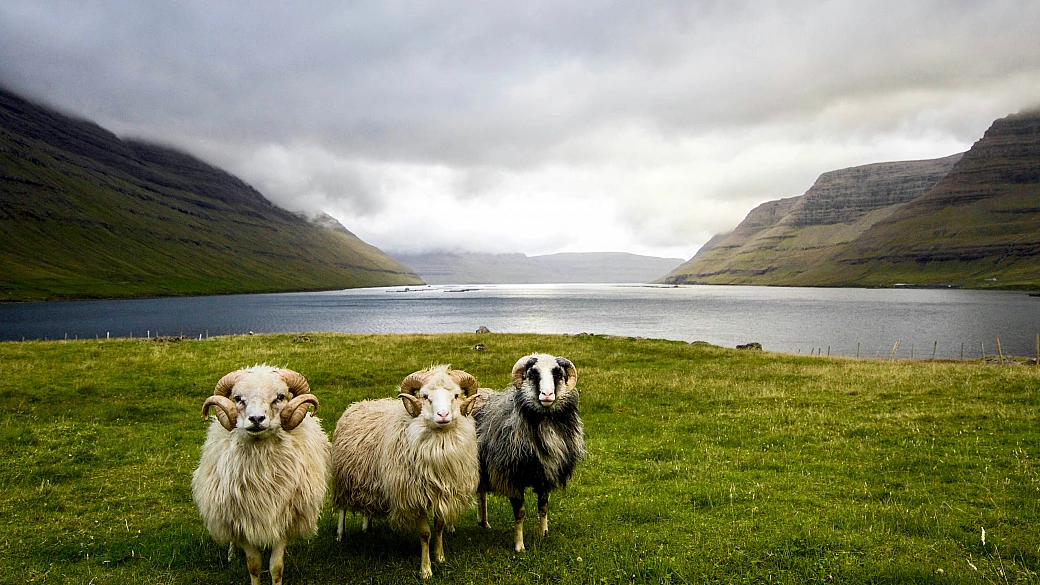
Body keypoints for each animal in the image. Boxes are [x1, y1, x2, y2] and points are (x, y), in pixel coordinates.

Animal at [191, 365, 329, 585]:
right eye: (238, 398)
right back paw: (231, 553)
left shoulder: (284, 519)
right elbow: (254, 565)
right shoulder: (241, 522)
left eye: (279, 397)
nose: (256, 419)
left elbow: (276, 567)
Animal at [331, 365, 480, 579]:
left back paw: (367, 527)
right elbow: (425, 533)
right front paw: (425, 570)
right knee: (342, 508)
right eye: (425, 396)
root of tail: (359, 404)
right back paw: (340, 534)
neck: (439, 446)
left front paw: (439, 556)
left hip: (368, 480)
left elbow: (440, 526)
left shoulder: (442, 493)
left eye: (456, 395)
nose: (443, 415)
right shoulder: (414, 495)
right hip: (344, 477)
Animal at [472, 353, 585, 552]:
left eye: (558, 374)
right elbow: (520, 513)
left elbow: (543, 506)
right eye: (533, 374)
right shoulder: (512, 477)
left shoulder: (545, 475)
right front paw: (519, 545)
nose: (547, 395)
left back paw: (484, 522)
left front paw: (544, 534)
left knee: (481, 492)